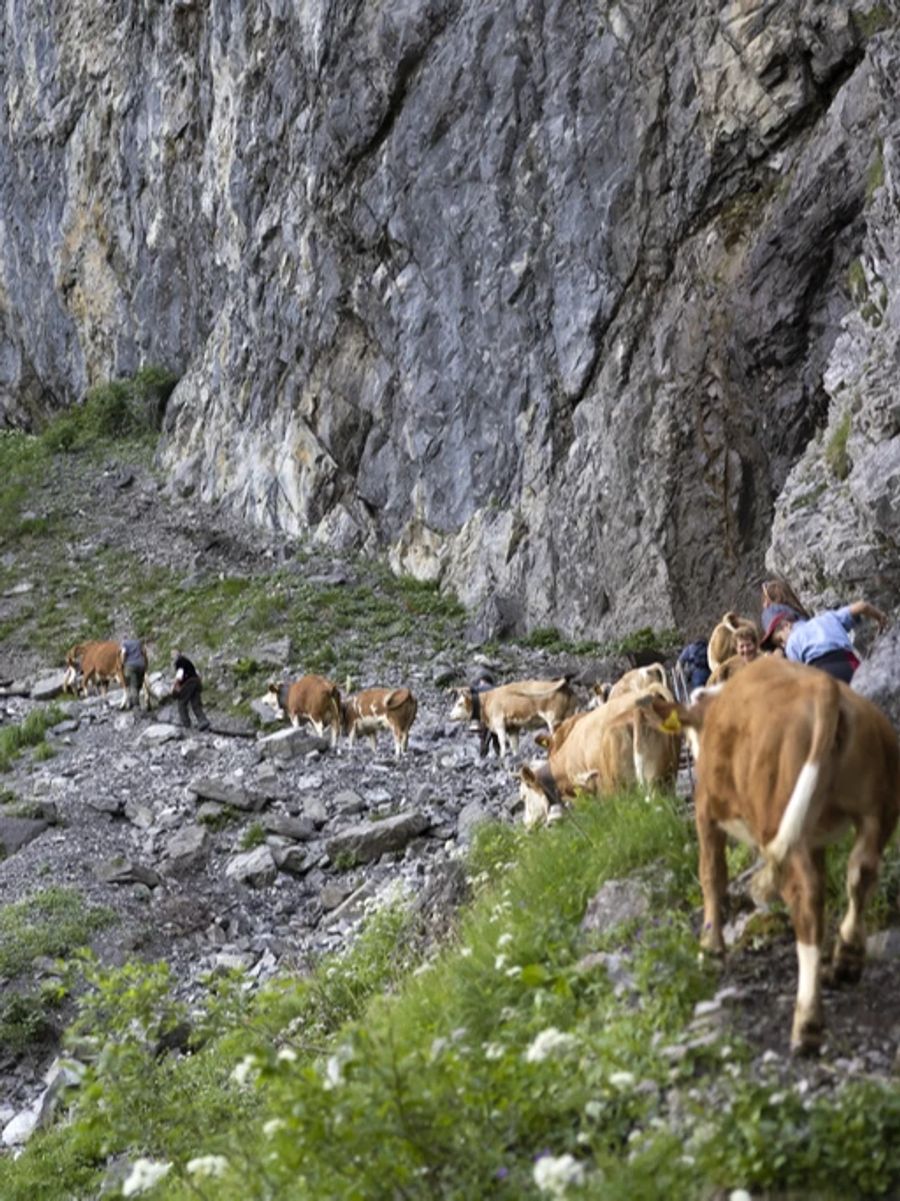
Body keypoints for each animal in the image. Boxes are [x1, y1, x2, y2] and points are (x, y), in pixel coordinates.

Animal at [446, 677, 576, 759]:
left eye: (460, 703)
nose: (450, 716)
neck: (487, 701)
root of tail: (566, 687)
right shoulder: (512, 728)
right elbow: (514, 746)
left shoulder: (499, 724)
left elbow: (502, 743)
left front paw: (502, 758)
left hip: (554, 720)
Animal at [639, 653, 898, 1056]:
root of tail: (828, 690)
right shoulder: (815, 837)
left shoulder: (705, 810)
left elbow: (712, 874)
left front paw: (710, 947)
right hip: (877, 810)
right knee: (861, 874)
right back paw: (845, 961)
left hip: (781, 816)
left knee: (806, 898)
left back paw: (807, 1023)